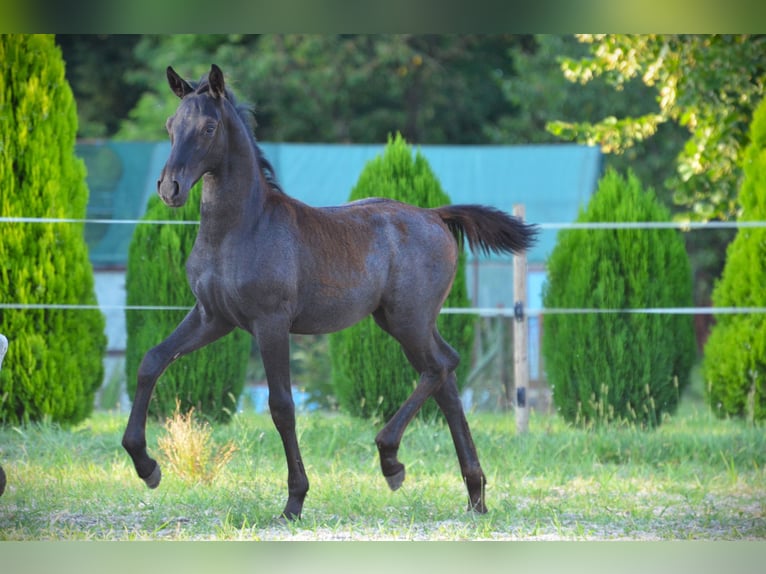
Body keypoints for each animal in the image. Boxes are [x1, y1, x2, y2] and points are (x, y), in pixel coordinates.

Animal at [121, 64, 540, 520]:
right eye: (170, 125)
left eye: (209, 127)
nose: (170, 188)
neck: (240, 228)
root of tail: (434, 215)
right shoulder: (212, 317)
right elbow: (151, 361)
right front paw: (145, 465)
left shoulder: (270, 322)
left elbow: (282, 405)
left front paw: (294, 499)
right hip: (400, 320)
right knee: (445, 376)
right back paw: (474, 493)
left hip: (408, 319)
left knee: (440, 366)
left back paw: (392, 461)